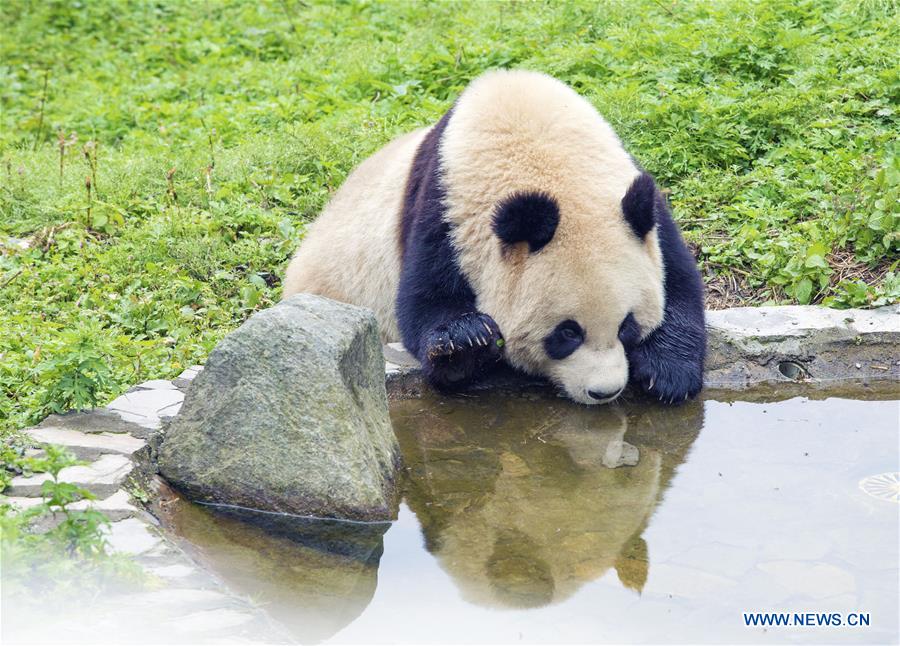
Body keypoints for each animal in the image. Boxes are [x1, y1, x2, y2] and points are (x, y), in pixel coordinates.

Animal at [283, 70, 706, 405]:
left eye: (627, 327)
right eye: (567, 332)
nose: (605, 392)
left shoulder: (637, 200)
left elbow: (679, 279)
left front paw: (668, 374)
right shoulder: (442, 208)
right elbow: (424, 301)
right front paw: (466, 340)